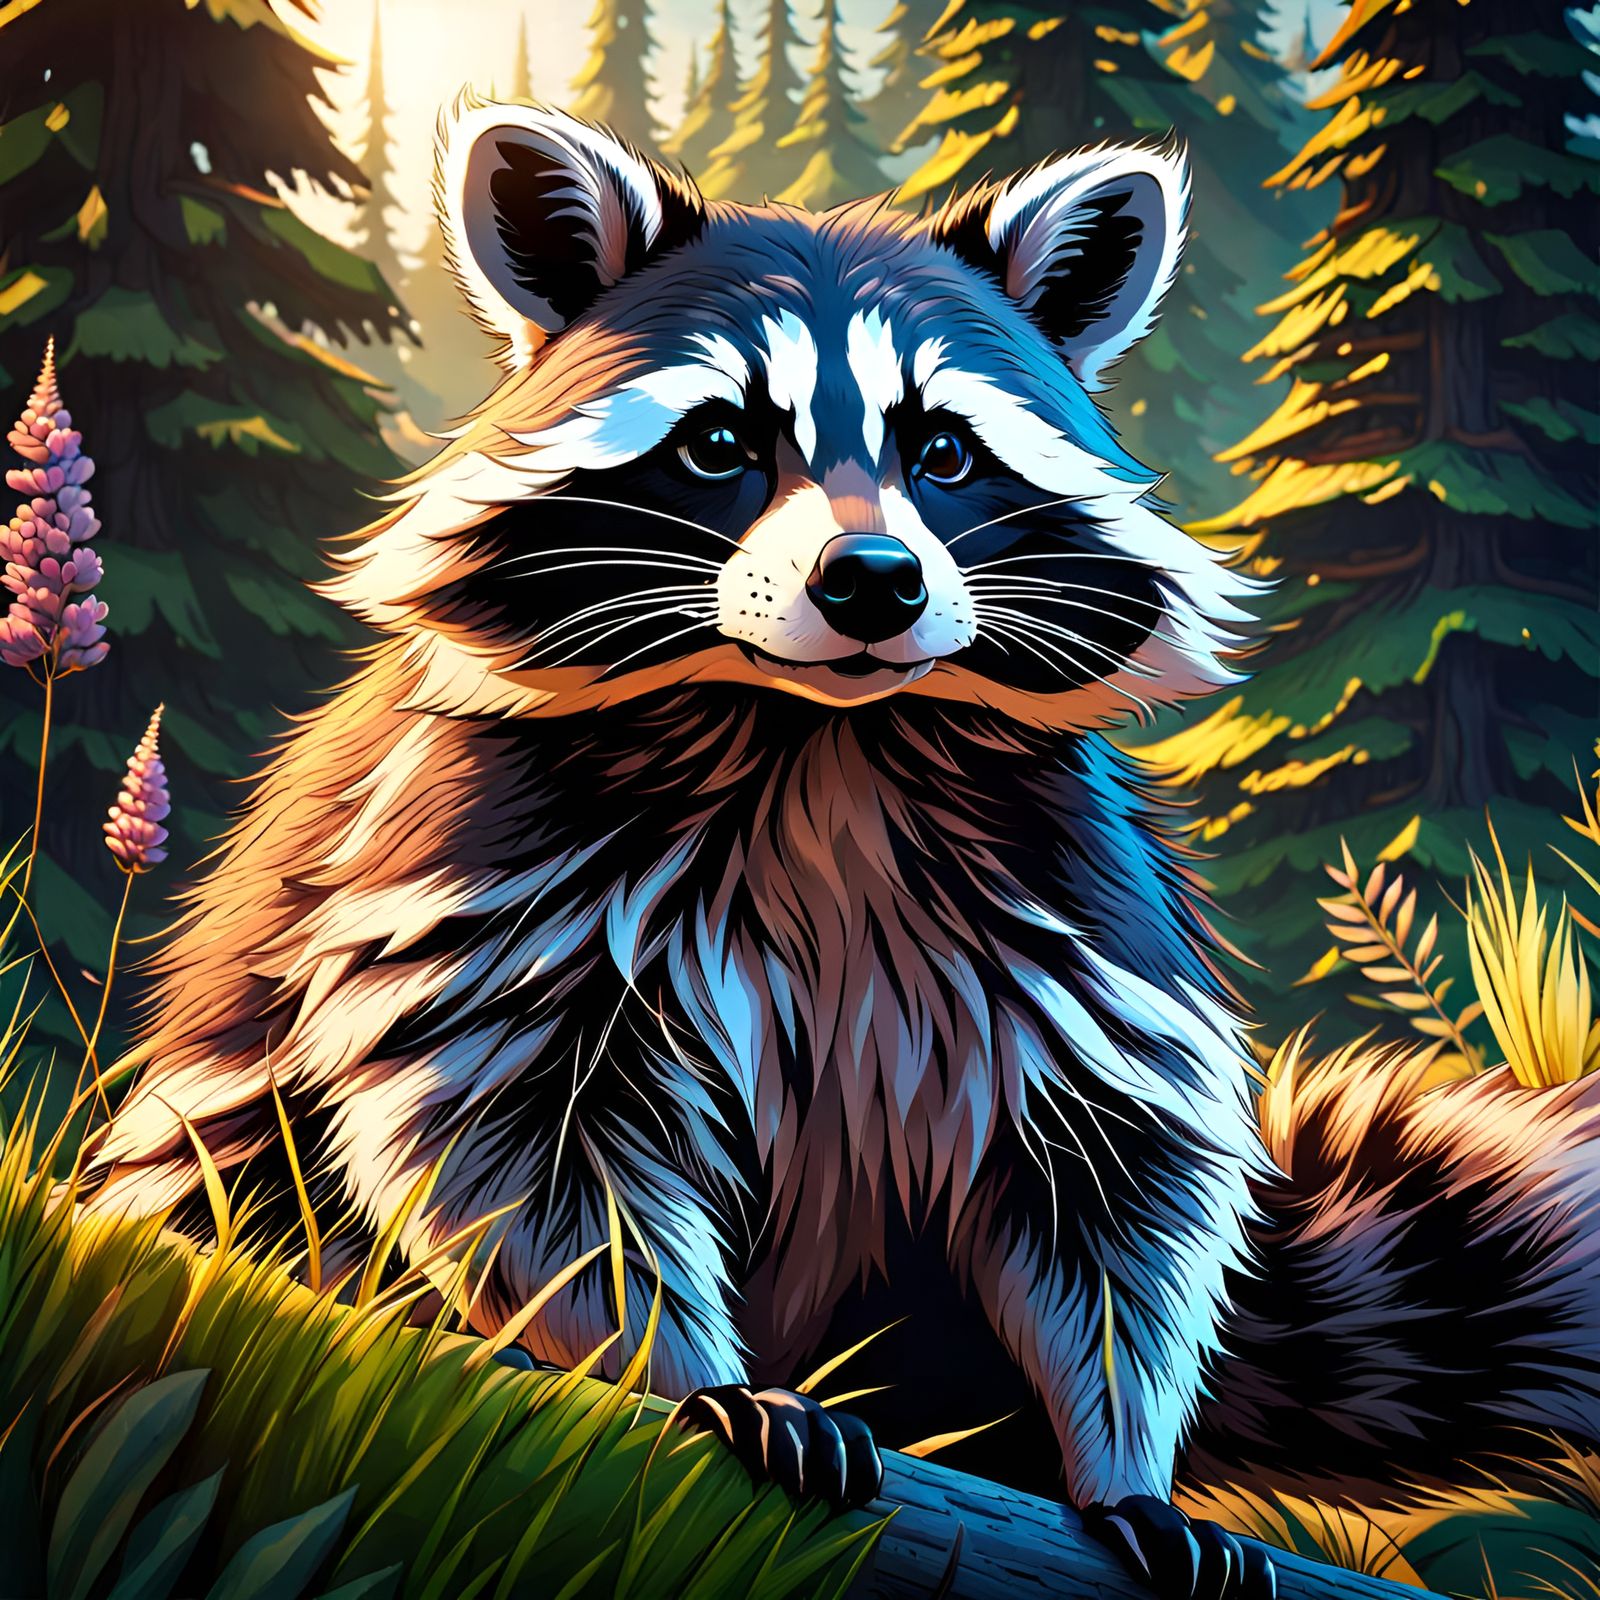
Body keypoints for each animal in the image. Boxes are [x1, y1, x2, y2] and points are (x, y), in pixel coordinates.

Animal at [80, 101, 1600, 1598]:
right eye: (719, 444)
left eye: (944, 453)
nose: (872, 581)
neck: (822, 744)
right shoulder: (490, 864)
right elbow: (533, 1144)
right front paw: (676, 1364)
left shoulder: (1074, 905)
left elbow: (1116, 1185)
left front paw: (1117, 1453)